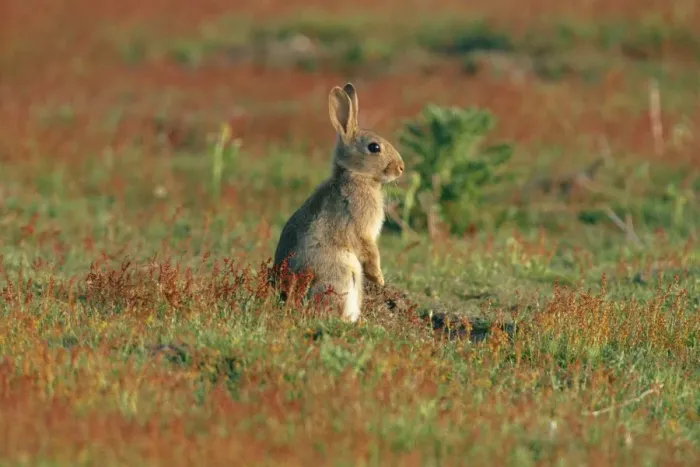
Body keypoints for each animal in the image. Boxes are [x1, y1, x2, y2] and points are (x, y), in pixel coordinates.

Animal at [272, 82, 405, 322]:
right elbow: (370, 252)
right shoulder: (362, 229)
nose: (401, 168)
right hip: (341, 275)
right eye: (374, 148)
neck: (356, 175)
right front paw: (379, 279)